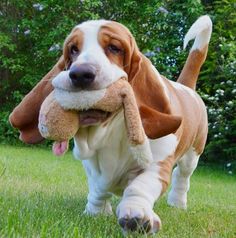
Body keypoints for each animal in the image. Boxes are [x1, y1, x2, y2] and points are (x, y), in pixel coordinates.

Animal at [9, 15, 212, 233]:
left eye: (114, 47)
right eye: (73, 49)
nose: (80, 74)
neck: (109, 131)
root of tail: (185, 87)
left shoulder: (157, 165)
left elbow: (139, 186)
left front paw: (137, 215)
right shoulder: (92, 167)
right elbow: (98, 187)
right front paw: (96, 212)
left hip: (192, 155)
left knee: (182, 177)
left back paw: (177, 203)